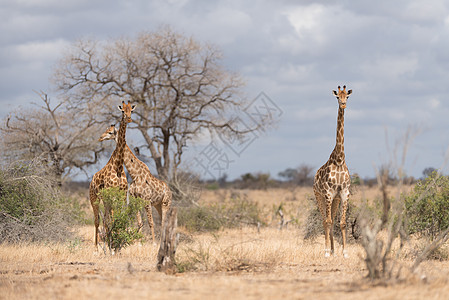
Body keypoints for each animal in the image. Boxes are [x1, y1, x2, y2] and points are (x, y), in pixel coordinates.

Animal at [89, 101, 135, 248]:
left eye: (131, 110)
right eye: (122, 111)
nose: (129, 119)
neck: (118, 166)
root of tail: (91, 181)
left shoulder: (122, 195)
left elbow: (119, 218)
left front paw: (117, 241)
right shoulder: (111, 195)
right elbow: (111, 220)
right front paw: (112, 243)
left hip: (105, 200)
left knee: (105, 219)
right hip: (94, 199)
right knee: (98, 220)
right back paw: (97, 247)